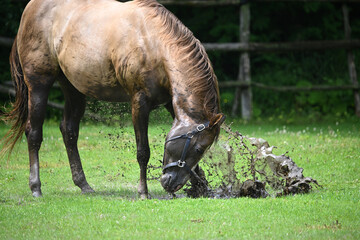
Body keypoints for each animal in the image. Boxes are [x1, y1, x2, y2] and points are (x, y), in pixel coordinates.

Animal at [0, 0, 225, 199]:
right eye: (198, 148)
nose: (172, 184)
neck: (153, 44)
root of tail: (30, 8)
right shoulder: (139, 103)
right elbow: (143, 151)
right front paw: (143, 192)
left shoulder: (172, 102)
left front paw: (200, 187)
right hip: (38, 84)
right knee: (34, 132)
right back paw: (36, 187)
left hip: (73, 88)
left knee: (69, 131)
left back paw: (83, 185)